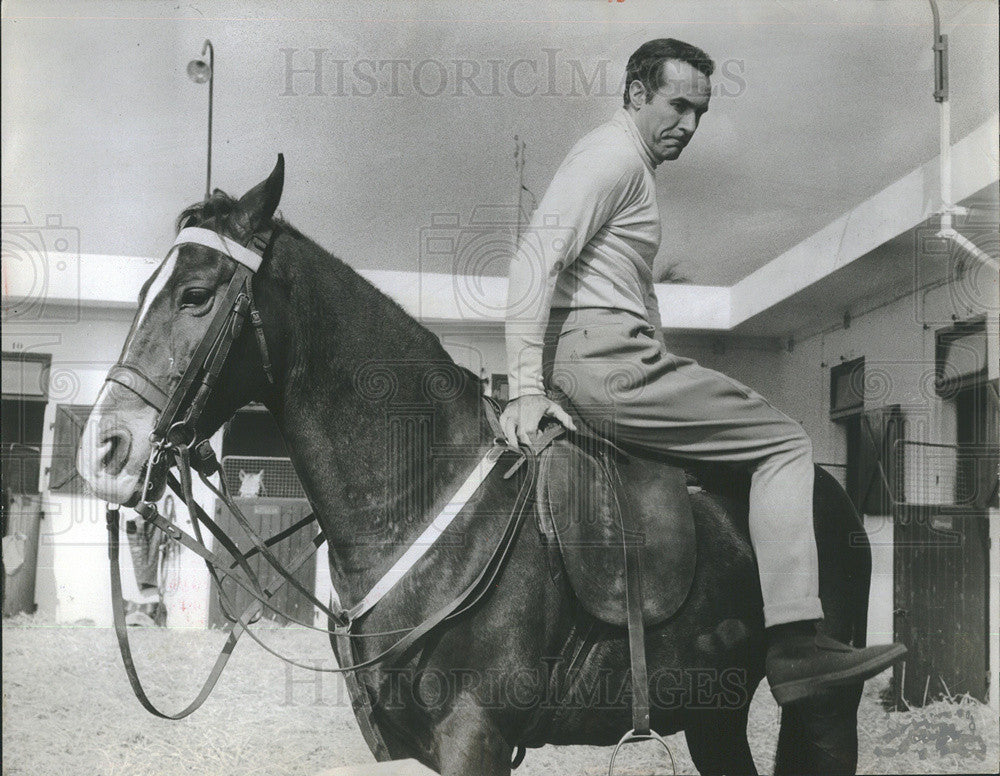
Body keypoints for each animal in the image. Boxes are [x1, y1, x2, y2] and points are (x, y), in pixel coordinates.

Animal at [78, 155, 876, 772]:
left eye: (195, 294)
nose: (107, 448)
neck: (427, 506)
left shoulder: (475, 736)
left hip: (826, 710)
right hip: (715, 716)